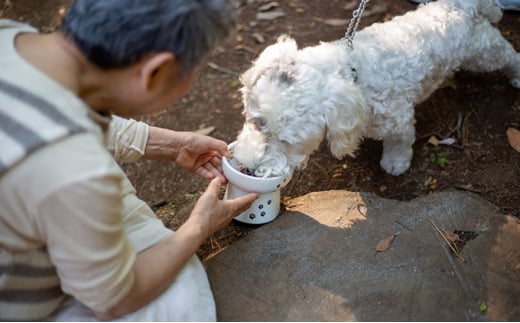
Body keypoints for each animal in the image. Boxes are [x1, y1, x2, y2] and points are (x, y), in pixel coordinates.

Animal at [231, 0, 520, 182]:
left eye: (287, 142)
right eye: (254, 123)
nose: (250, 169)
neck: (354, 74)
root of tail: (461, 5)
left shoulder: (398, 119)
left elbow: (400, 143)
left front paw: (395, 163)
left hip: (483, 51)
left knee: (509, 54)